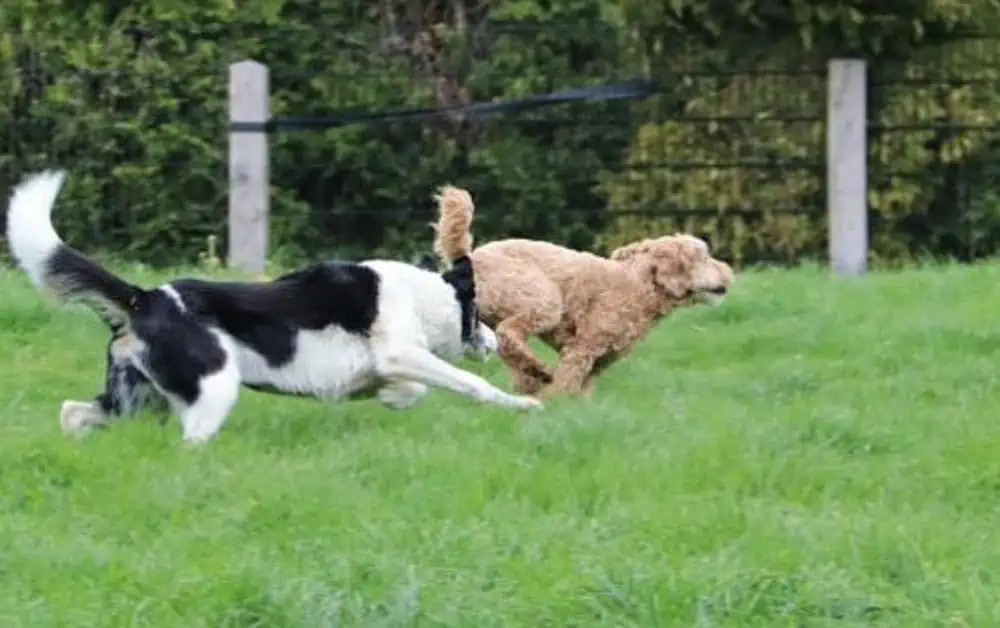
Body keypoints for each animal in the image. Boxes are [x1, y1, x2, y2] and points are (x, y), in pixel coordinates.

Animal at [5, 170, 540, 442]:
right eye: (480, 314)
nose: (493, 342)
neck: (421, 295)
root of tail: (144, 297)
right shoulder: (401, 353)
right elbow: (470, 385)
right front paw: (525, 405)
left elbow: (408, 391)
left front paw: (392, 396)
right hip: (214, 388)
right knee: (190, 441)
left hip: (134, 400)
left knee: (73, 414)